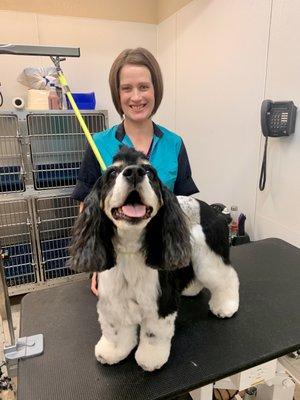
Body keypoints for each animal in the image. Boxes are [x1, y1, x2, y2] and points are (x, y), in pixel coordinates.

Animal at [68, 147, 239, 372]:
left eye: (149, 172)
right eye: (112, 173)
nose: (134, 172)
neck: (131, 247)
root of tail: (213, 210)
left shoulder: (160, 301)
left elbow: (153, 333)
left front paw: (150, 358)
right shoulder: (113, 299)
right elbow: (115, 329)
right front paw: (112, 351)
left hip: (209, 257)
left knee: (226, 278)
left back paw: (226, 306)